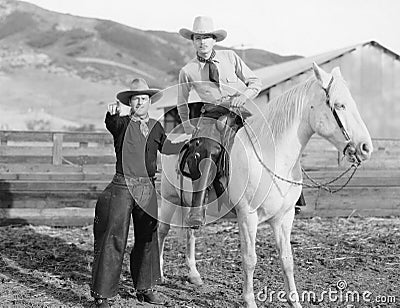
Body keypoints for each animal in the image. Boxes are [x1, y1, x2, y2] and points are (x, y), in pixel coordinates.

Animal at [157, 63, 372, 306]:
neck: (271, 154)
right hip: (169, 198)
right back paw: (160, 274)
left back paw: (194, 275)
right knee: (162, 231)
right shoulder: (247, 216)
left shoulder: (284, 217)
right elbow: (249, 259)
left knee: (190, 231)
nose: (366, 147)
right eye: (339, 105)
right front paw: (250, 300)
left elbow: (287, 259)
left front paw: (294, 301)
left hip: (190, 202)